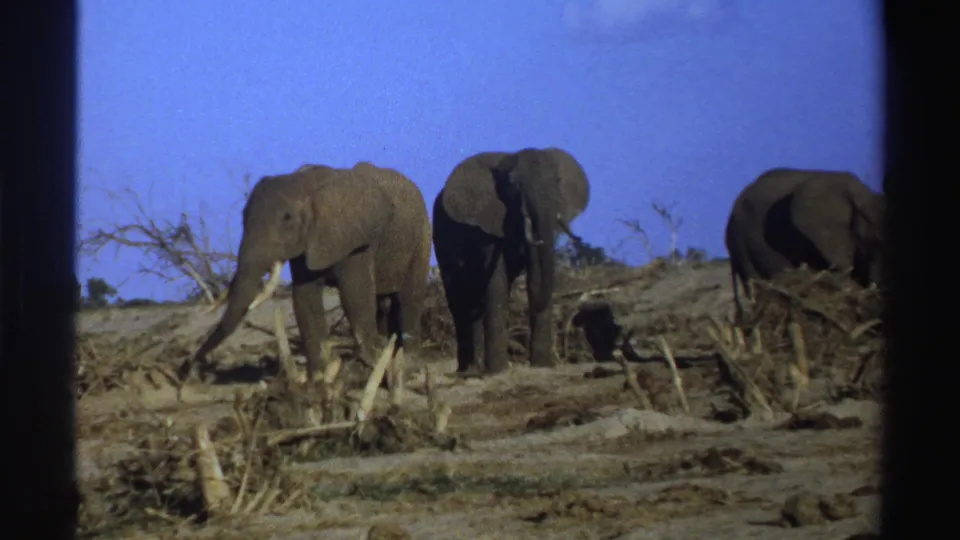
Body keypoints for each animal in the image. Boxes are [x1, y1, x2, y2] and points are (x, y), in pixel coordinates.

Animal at [179, 161, 433, 385]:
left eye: (287, 218)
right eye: (243, 216)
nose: (188, 368)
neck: (307, 184)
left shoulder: (358, 240)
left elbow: (355, 297)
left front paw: (367, 369)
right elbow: (305, 299)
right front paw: (318, 378)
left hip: (422, 237)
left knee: (409, 298)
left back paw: (409, 366)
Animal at [433, 147, 591, 374]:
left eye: (557, 181)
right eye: (514, 185)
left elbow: (535, 275)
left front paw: (543, 365)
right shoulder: (487, 220)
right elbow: (496, 279)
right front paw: (498, 371)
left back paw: (476, 368)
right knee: (459, 298)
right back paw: (467, 370)